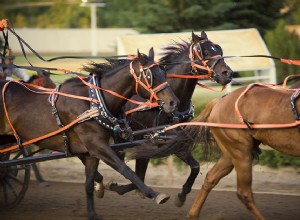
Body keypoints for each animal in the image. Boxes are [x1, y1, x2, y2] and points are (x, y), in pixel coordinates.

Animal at [0, 49, 178, 219]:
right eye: (150, 76)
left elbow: (88, 183)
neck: (93, 102)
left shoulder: (91, 151)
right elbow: (125, 169)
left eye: (163, 72)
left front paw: (93, 210)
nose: (173, 102)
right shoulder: (97, 145)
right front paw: (154, 194)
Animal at [103, 31, 234, 206]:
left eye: (219, 49)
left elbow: (195, 167)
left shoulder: (175, 141)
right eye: (205, 52)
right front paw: (114, 186)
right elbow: (138, 176)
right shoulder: (146, 141)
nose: (228, 73)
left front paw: (182, 195)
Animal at [156, 83, 298, 219]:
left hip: (231, 153)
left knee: (211, 177)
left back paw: (192, 213)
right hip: (241, 153)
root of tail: (219, 101)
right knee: (244, 193)